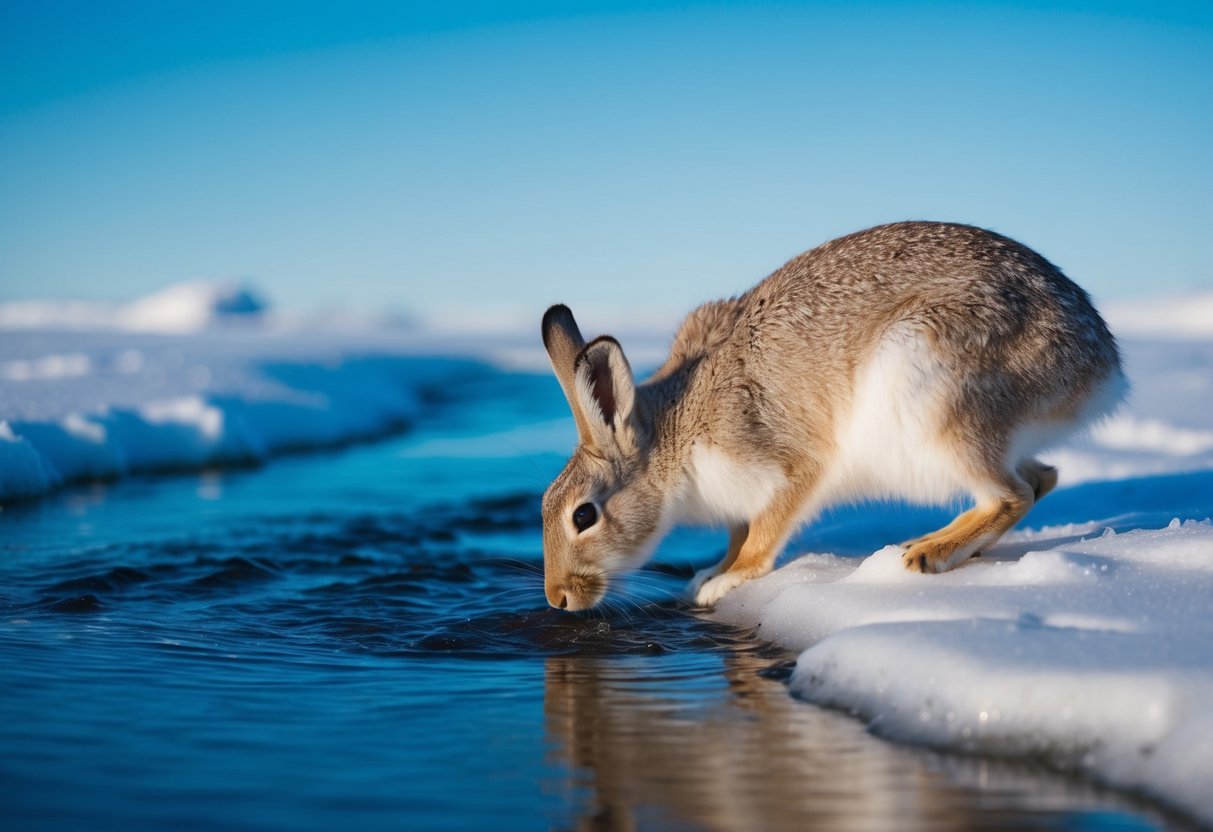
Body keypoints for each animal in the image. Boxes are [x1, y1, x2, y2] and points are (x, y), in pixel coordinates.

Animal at [540, 221, 1125, 611]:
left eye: (584, 516)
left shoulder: (788, 464)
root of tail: (1101, 366)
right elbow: (736, 534)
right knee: (1041, 478)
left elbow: (763, 534)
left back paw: (925, 553)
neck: (673, 436)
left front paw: (725, 582)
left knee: (1011, 493)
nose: (557, 599)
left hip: (934, 396)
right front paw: (711, 571)